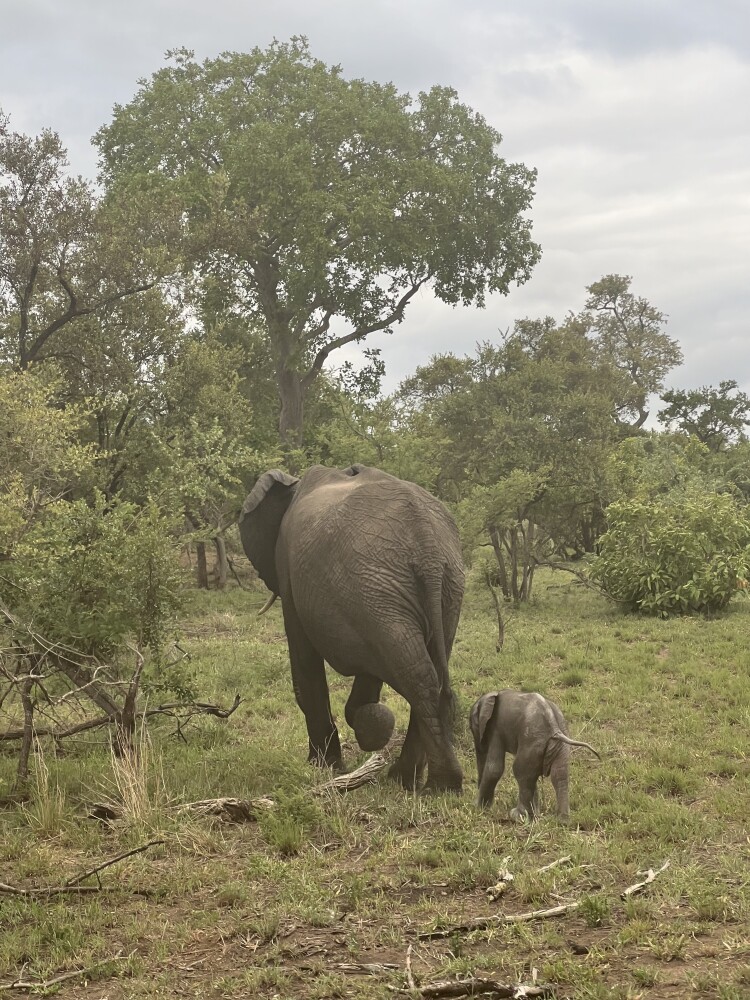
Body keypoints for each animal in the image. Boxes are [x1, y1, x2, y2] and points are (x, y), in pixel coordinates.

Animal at [239, 463, 465, 792]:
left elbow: (304, 665)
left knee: (417, 676)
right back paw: (416, 781)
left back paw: (430, 784)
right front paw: (366, 723)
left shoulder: (288, 569)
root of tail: (429, 551)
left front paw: (324, 765)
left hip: (379, 588)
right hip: (430, 589)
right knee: (426, 669)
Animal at [469, 690, 600, 821]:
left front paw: (478, 808)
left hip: (532, 740)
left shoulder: (496, 730)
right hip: (558, 744)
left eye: (472, 727)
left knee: (521, 771)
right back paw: (562, 820)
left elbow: (494, 769)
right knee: (558, 774)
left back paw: (518, 816)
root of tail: (554, 726)